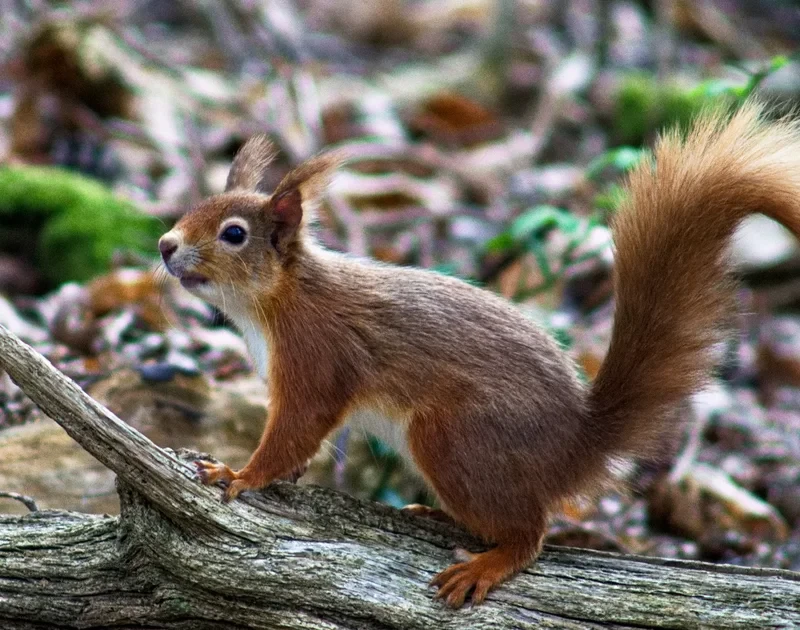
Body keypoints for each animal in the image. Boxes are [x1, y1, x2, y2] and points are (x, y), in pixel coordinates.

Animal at [158, 100, 800, 608]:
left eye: (234, 234)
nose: (165, 245)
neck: (277, 301)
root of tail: (574, 446)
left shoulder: (318, 357)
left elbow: (296, 428)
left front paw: (239, 474)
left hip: (454, 436)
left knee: (529, 534)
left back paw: (487, 563)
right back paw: (440, 516)